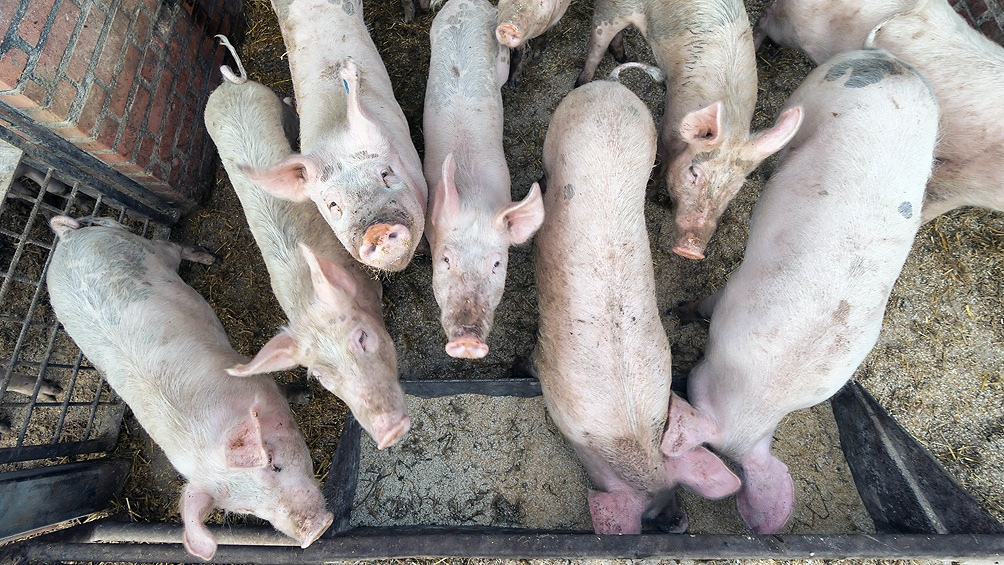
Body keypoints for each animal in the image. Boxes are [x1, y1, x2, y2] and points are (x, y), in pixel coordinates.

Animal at [45, 216, 333, 560]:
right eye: (246, 510)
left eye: (275, 465)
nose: (315, 531)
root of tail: (67, 238)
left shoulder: (258, 378)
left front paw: (304, 395)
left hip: (146, 249)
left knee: (169, 245)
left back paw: (211, 259)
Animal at [533, 78, 741, 535]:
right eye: (648, 521)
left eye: (676, 490)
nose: (679, 522)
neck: (625, 436)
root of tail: (610, 86)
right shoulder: (548, 374)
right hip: (559, 125)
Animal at [574, 0, 804, 260]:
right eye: (694, 172)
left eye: (735, 189)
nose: (692, 250)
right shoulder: (668, 126)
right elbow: (661, 161)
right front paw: (652, 193)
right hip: (612, 10)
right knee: (597, 43)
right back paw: (581, 81)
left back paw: (621, 55)